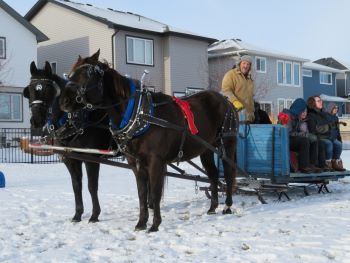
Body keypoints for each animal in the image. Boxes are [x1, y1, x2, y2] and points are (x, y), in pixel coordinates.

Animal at [23, 61, 113, 223]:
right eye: (31, 89)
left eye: (48, 89)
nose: (37, 120)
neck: (75, 120)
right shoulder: (70, 159)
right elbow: (76, 185)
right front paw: (77, 214)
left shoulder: (91, 158)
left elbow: (92, 186)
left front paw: (95, 215)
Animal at [59, 50, 238, 232]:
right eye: (70, 74)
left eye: (87, 74)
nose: (64, 101)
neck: (139, 114)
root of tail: (225, 100)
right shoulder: (135, 163)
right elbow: (142, 193)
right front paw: (141, 222)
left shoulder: (155, 162)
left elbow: (155, 193)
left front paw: (155, 224)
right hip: (207, 149)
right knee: (213, 174)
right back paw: (213, 207)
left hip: (228, 143)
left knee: (229, 173)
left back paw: (227, 206)